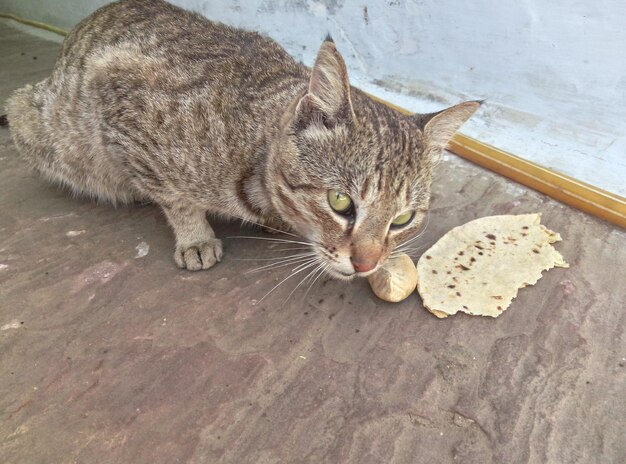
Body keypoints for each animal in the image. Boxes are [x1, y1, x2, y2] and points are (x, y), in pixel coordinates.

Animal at [6, 0, 478, 280]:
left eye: (403, 220)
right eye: (340, 202)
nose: (367, 265)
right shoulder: (120, 95)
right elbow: (174, 196)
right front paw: (194, 236)